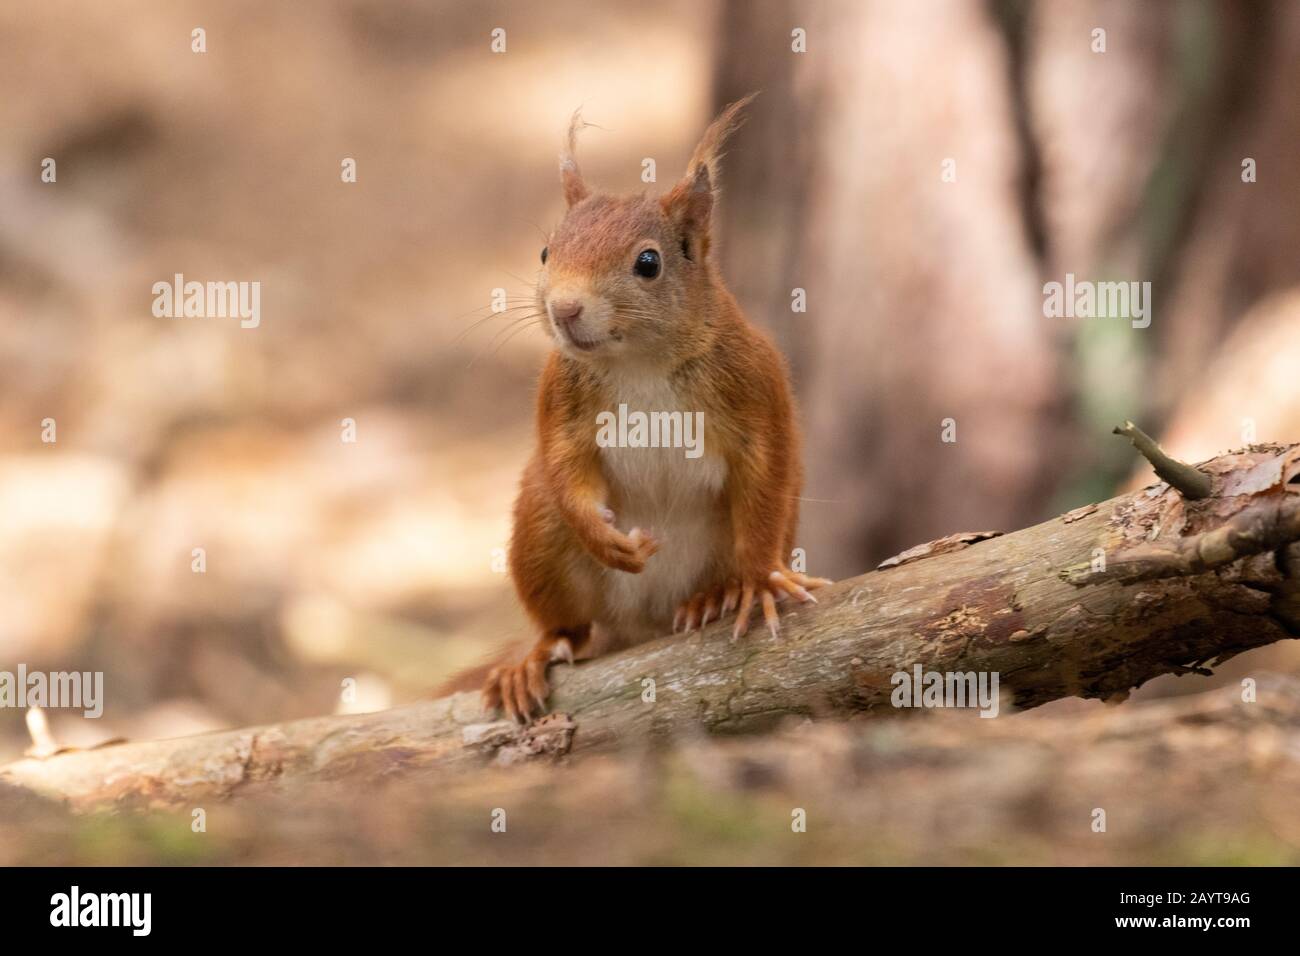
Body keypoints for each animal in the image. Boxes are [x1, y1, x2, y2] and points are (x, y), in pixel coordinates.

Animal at [473, 98, 826, 723]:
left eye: (648, 262)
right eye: (545, 251)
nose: (564, 309)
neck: (638, 361)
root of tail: (642, 629)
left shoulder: (754, 387)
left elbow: (765, 476)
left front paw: (759, 581)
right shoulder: (561, 397)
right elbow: (564, 464)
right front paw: (605, 537)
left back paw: (716, 595)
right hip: (541, 538)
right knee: (568, 624)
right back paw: (533, 658)